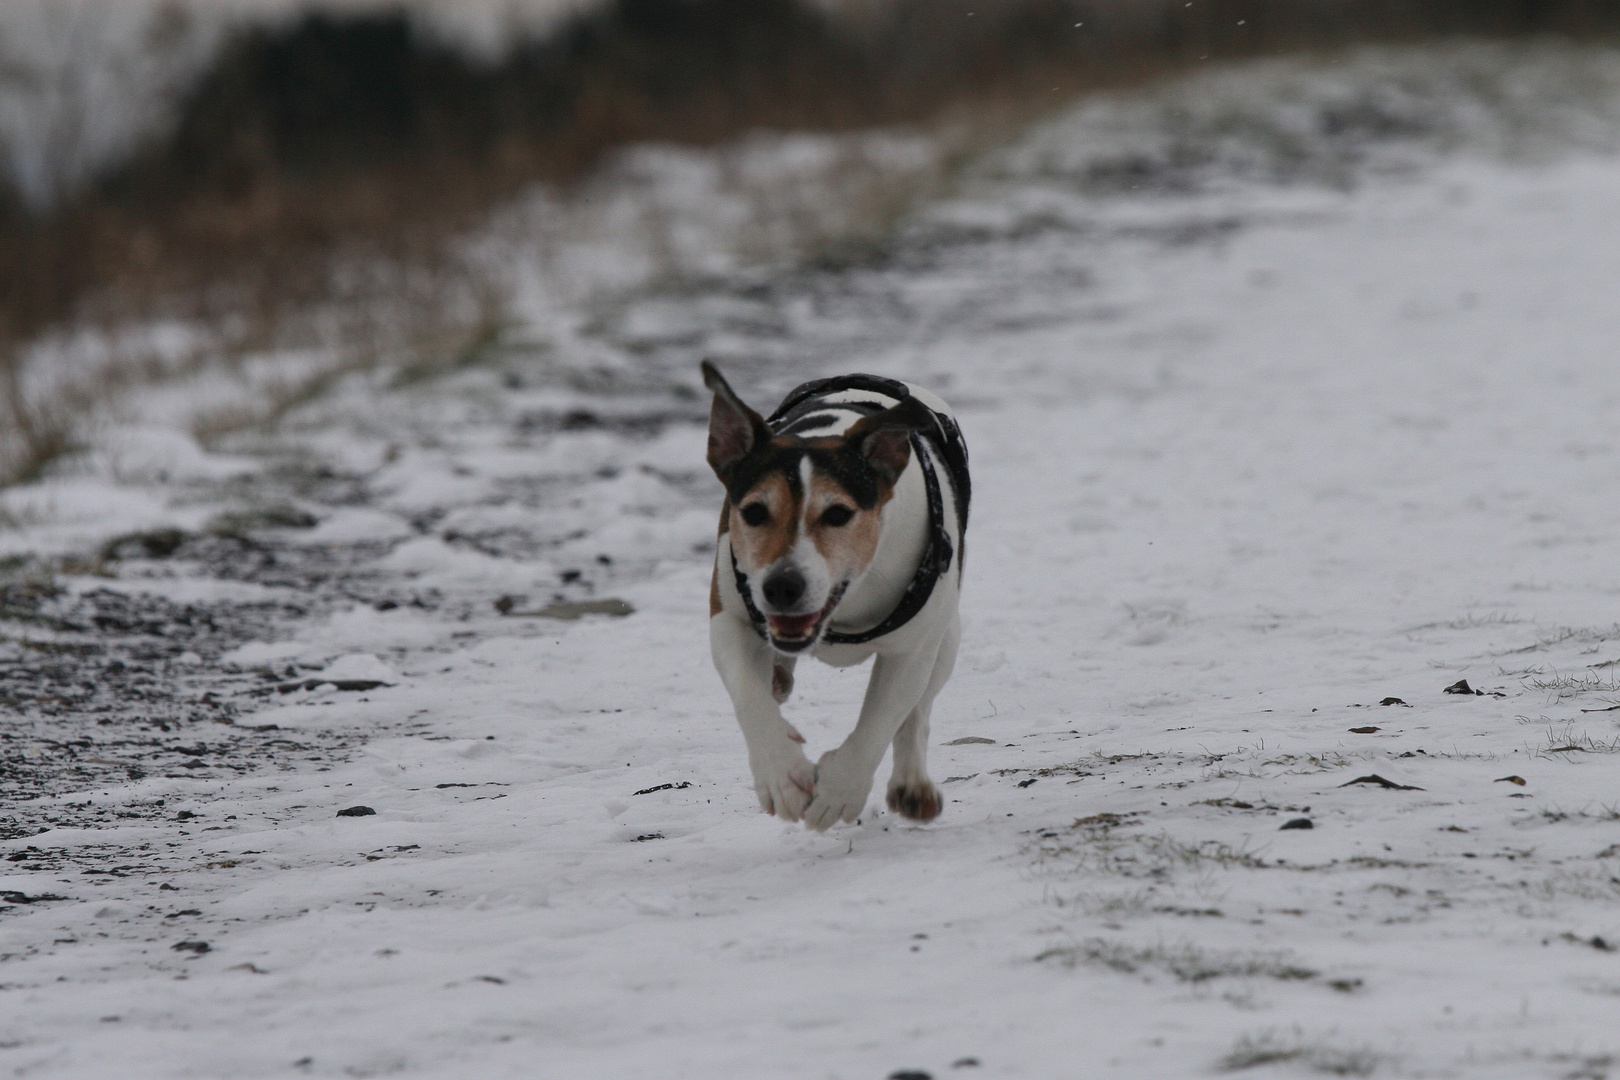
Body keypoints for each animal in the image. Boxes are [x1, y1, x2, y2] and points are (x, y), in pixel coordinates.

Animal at [699, 362, 972, 835]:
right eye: (753, 512)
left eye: (838, 514)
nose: (781, 586)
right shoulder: (729, 615)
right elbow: (749, 696)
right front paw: (781, 775)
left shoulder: (911, 647)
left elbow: (883, 717)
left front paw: (838, 792)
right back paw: (778, 675)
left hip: (946, 636)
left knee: (917, 712)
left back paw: (912, 785)